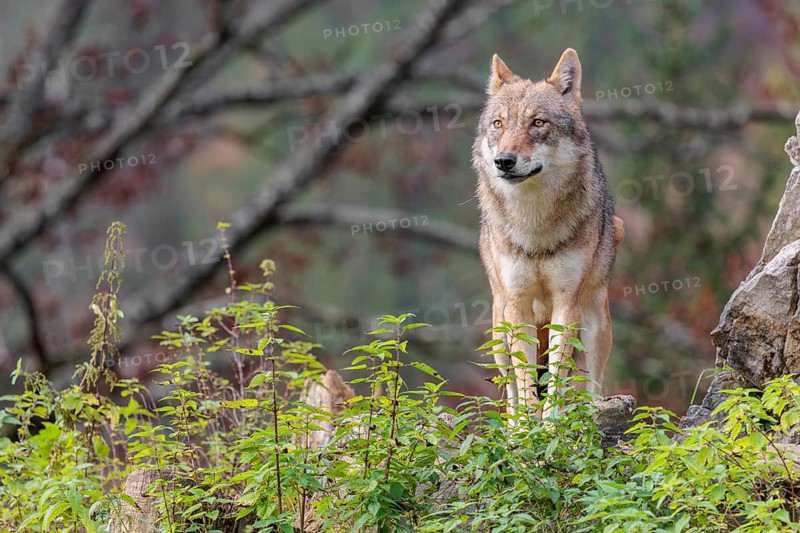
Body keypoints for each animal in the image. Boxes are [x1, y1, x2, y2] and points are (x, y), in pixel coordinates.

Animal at [473, 48, 624, 416]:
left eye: (538, 122)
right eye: (498, 124)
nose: (504, 161)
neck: (534, 225)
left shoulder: (566, 304)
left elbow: (556, 376)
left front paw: (552, 423)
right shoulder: (518, 306)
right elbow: (526, 381)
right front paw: (530, 424)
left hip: (596, 321)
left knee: (593, 380)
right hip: (499, 327)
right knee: (510, 387)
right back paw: (514, 423)